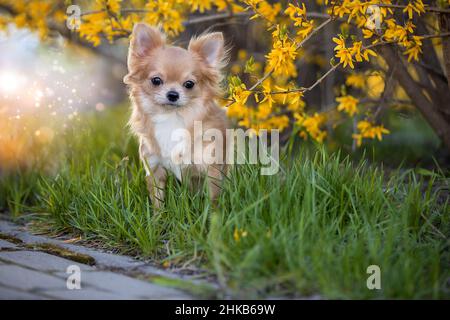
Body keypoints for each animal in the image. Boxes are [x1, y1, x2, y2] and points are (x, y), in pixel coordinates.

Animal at [123, 22, 229, 208]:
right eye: (156, 81)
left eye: (189, 84)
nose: (173, 94)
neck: (171, 118)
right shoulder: (155, 168)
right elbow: (157, 200)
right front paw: (158, 216)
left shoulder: (210, 168)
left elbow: (214, 198)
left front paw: (214, 214)